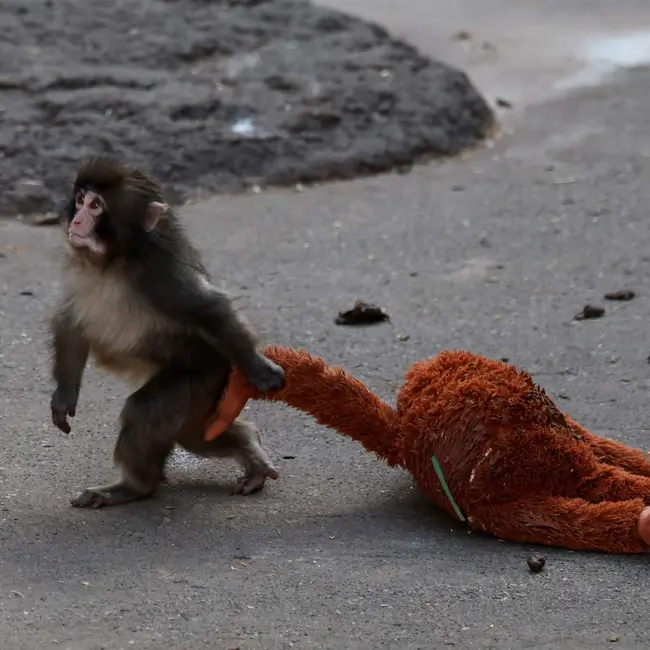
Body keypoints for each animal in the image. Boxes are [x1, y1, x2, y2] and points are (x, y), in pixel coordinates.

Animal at [50, 156, 285, 508]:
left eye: (95, 205)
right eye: (79, 200)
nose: (77, 221)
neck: (113, 261)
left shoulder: (159, 275)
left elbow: (210, 308)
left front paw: (260, 369)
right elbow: (70, 323)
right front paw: (64, 395)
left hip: (201, 376)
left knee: (146, 413)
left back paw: (134, 487)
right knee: (196, 434)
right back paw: (248, 445)